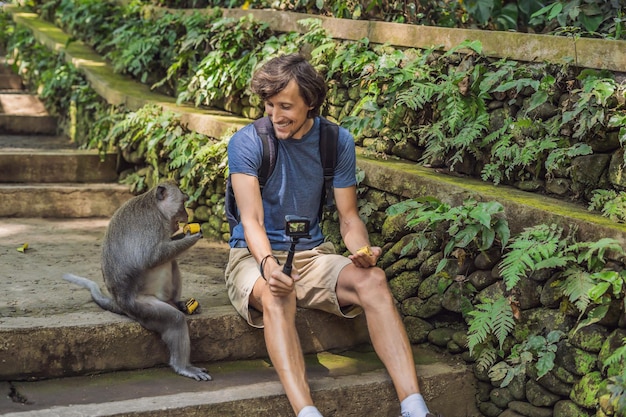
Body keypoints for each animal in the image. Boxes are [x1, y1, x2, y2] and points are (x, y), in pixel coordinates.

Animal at [63, 179, 211, 380]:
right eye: (183, 202)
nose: (187, 215)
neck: (156, 208)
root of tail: (119, 301)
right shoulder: (151, 225)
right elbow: (152, 257)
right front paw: (193, 235)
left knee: (172, 261)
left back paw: (177, 303)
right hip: (141, 307)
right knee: (174, 319)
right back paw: (183, 366)